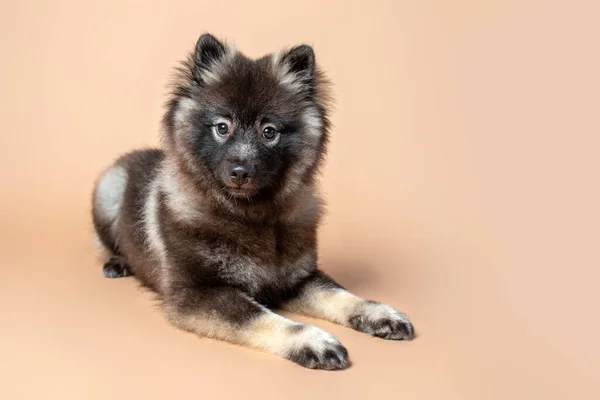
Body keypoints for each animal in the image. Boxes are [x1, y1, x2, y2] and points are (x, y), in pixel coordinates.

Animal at [92, 32, 412, 370]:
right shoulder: (199, 294)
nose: (240, 172)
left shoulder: (296, 280)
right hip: (109, 188)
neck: (251, 215)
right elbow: (264, 319)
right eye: (222, 127)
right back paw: (118, 262)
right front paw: (313, 341)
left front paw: (380, 313)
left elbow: (340, 295)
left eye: (269, 131)